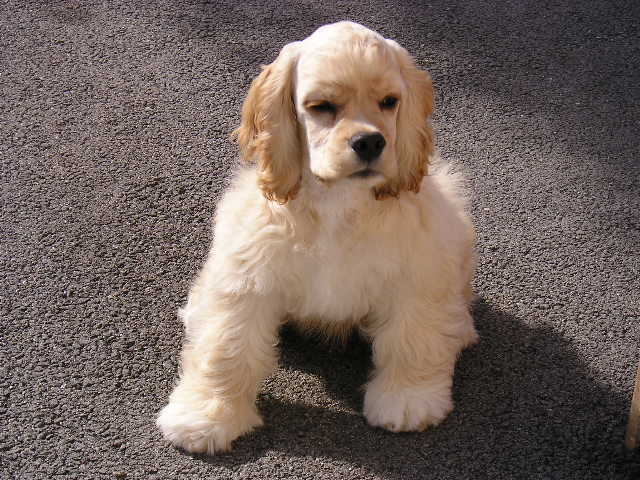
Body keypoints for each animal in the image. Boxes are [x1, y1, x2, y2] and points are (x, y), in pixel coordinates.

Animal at [157, 21, 478, 455]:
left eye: (389, 102)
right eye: (322, 106)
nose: (371, 141)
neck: (337, 202)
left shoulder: (418, 275)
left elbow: (414, 338)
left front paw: (409, 400)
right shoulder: (247, 276)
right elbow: (226, 348)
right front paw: (205, 418)